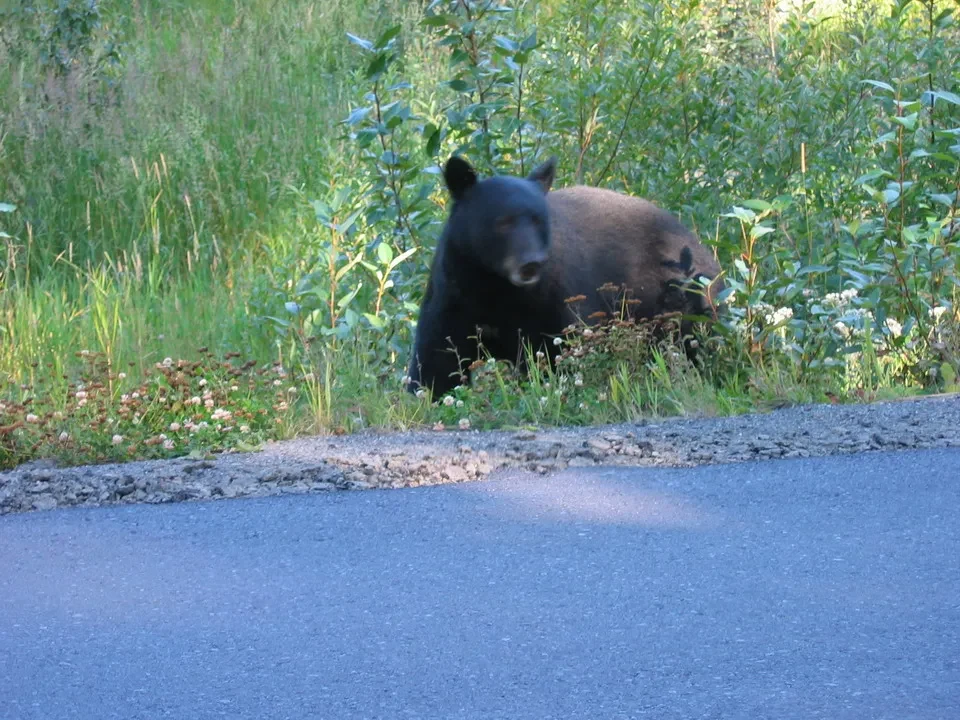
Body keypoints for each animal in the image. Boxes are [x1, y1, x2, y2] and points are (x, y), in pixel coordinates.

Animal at [405, 155, 724, 398]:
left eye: (539, 219)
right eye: (502, 222)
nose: (531, 264)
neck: (496, 286)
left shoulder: (555, 297)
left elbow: (563, 345)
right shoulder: (454, 292)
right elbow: (437, 356)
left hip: (682, 299)